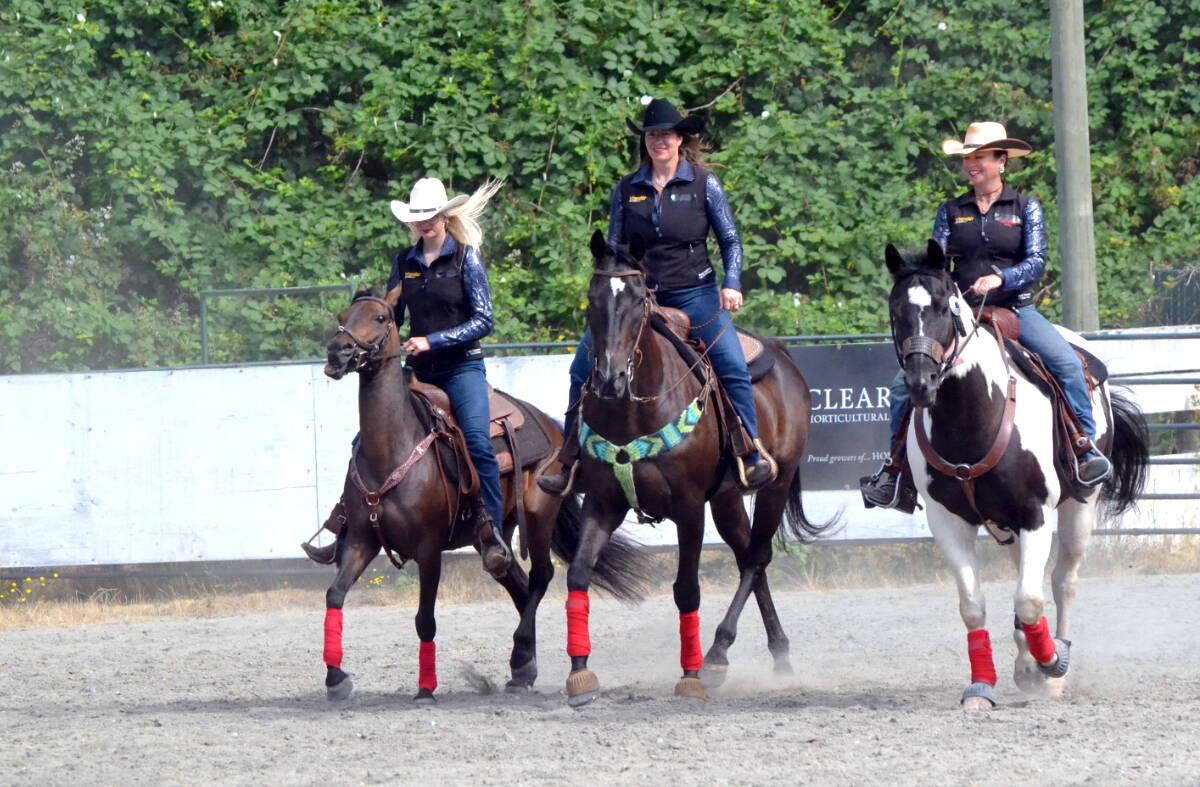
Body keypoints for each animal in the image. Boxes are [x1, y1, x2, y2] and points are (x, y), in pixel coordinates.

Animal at [319, 287, 648, 700]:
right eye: (342, 316)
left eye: (380, 318)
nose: (338, 351)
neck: (393, 446)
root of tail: (551, 427)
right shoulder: (362, 541)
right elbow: (334, 595)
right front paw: (336, 679)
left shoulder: (429, 550)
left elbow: (425, 620)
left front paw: (425, 689)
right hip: (489, 536)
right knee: (517, 582)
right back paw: (523, 666)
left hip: (538, 516)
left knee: (540, 576)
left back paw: (521, 658)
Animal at [561, 230, 835, 705]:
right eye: (593, 298)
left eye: (638, 299)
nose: (610, 379)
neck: (633, 412)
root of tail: (782, 355)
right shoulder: (603, 501)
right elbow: (579, 574)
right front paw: (580, 672)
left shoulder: (689, 508)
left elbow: (686, 589)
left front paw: (690, 676)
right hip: (726, 500)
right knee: (749, 557)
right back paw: (778, 653)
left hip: (774, 486)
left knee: (756, 558)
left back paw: (716, 656)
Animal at [888, 239, 1147, 705]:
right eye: (896, 310)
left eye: (943, 306)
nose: (921, 383)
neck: (971, 417)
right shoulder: (948, 521)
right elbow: (973, 607)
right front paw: (982, 686)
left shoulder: (1036, 513)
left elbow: (1030, 599)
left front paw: (1052, 665)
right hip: (1004, 522)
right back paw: (1025, 661)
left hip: (1080, 506)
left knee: (1062, 581)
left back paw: (1053, 665)